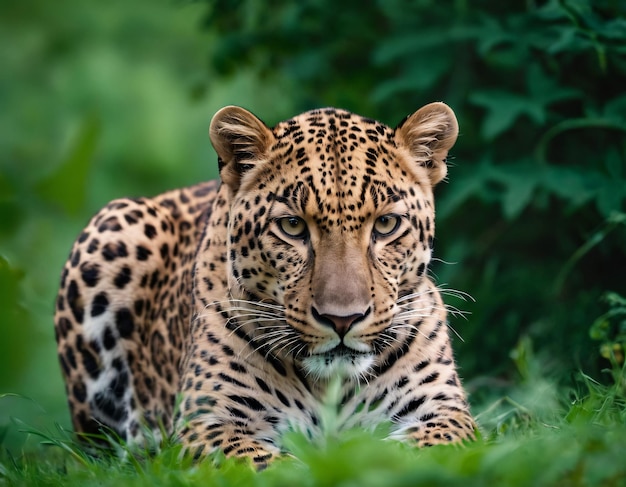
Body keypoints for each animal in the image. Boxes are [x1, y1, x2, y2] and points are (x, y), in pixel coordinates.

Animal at [54, 102, 472, 468]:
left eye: (386, 224)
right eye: (292, 226)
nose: (342, 320)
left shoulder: (444, 413)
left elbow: (411, 453)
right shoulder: (209, 424)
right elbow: (269, 466)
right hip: (113, 224)